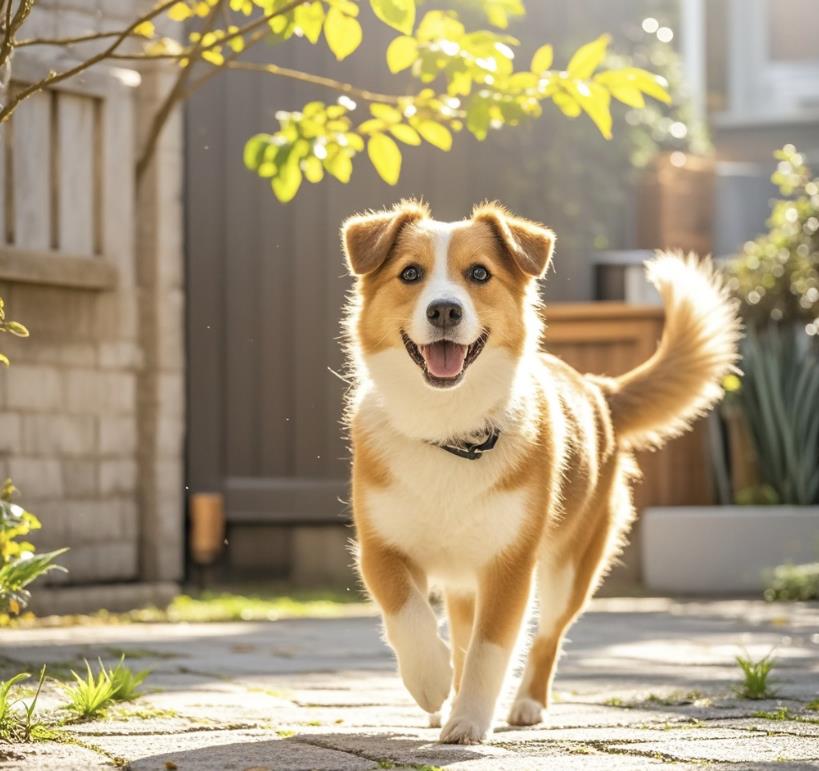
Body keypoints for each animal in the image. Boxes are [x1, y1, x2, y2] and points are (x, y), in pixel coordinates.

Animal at [340, 201, 744, 748]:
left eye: (479, 274)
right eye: (409, 274)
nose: (444, 310)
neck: (450, 430)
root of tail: (599, 390)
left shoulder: (511, 564)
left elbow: (490, 649)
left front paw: (469, 720)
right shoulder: (380, 548)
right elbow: (408, 613)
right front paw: (430, 681)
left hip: (569, 569)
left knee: (548, 635)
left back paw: (528, 703)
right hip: (467, 581)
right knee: (460, 631)